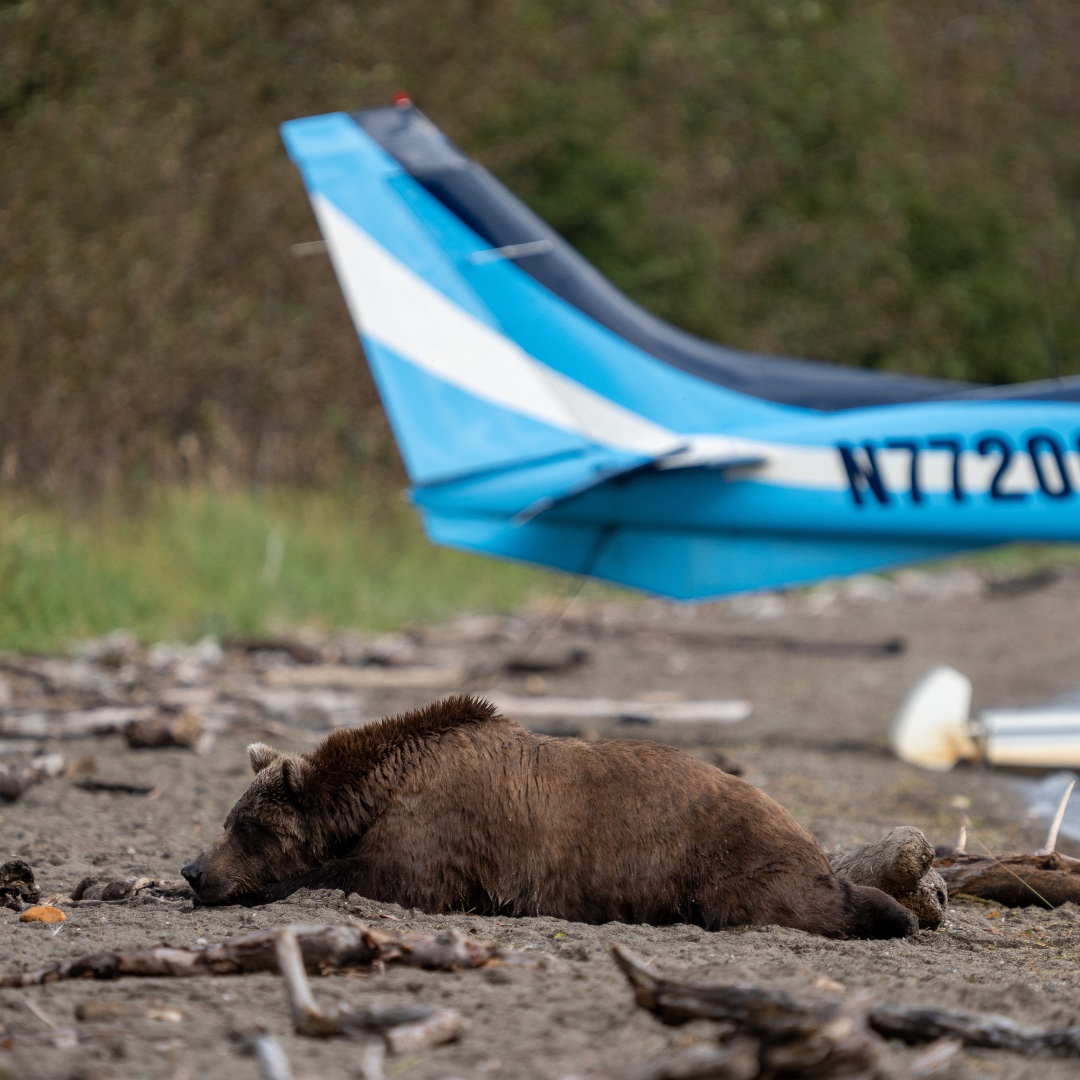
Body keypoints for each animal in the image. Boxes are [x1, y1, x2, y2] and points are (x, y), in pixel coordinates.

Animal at [182, 695, 916, 938]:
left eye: (246, 827)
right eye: (228, 819)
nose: (194, 869)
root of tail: (802, 828)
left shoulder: (441, 832)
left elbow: (373, 878)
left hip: (731, 857)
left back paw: (892, 911)